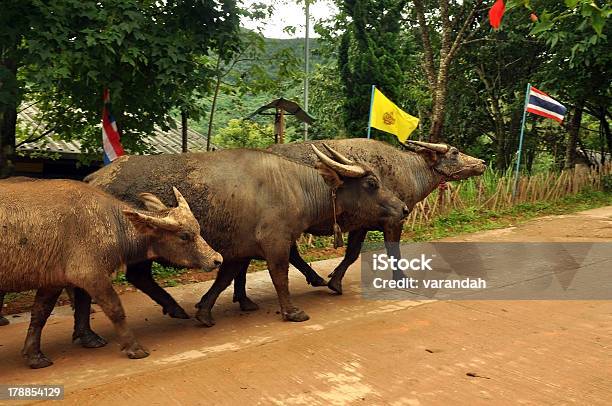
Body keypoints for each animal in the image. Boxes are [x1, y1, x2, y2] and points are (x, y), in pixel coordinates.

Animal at [0, 181, 220, 368]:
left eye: (198, 229)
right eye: (184, 236)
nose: (217, 259)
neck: (112, 224)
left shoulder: (52, 281)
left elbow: (40, 315)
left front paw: (34, 355)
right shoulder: (91, 275)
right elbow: (115, 309)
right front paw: (134, 347)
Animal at [81, 146, 406, 326]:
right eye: (372, 183)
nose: (403, 208)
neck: (294, 186)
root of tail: (93, 178)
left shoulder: (240, 248)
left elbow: (227, 277)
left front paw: (206, 310)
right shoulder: (275, 242)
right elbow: (279, 275)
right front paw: (291, 311)